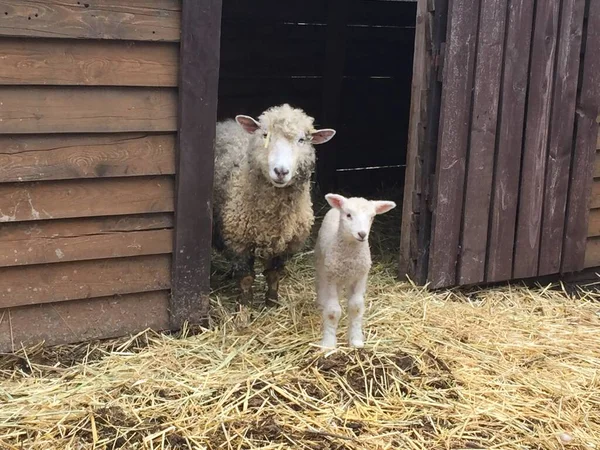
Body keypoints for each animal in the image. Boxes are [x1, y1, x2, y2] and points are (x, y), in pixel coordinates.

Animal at [213, 103, 338, 308]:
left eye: (302, 140)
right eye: (265, 135)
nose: (281, 171)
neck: (271, 217)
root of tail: (227, 122)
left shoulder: (286, 245)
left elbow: (273, 275)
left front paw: (272, 301)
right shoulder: (239, 241)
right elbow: (246, 277)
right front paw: (245, 304)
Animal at [314, 193, 398, 348]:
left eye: (372, 217)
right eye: (348, 215)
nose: (362, 234)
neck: (350, 256)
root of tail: (335, 208)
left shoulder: (360, 277)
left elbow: (356, 307)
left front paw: (356, 340)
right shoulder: (332, 278)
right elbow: (333, 311)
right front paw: (328, 343)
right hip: (322, 262)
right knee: (320, 283)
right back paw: (322, 302)